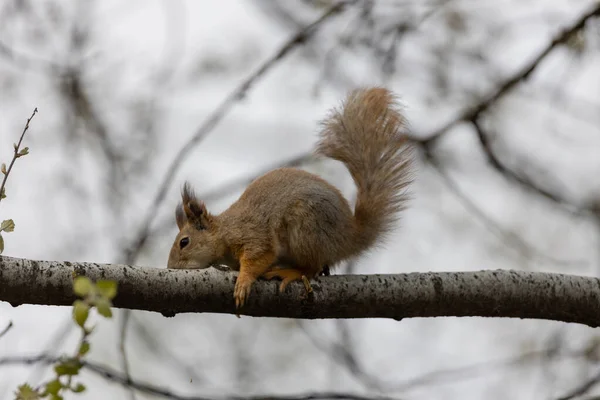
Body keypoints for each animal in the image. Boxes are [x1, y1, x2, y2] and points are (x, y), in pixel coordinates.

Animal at [166, 86, 414, 312]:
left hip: (306, 229)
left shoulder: (253, 235)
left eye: (184, 242)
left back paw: (289, 272)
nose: (171, 267)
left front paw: (243, 281)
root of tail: (348, 237)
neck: (225, 231)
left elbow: (259, 257)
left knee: (311, 268)